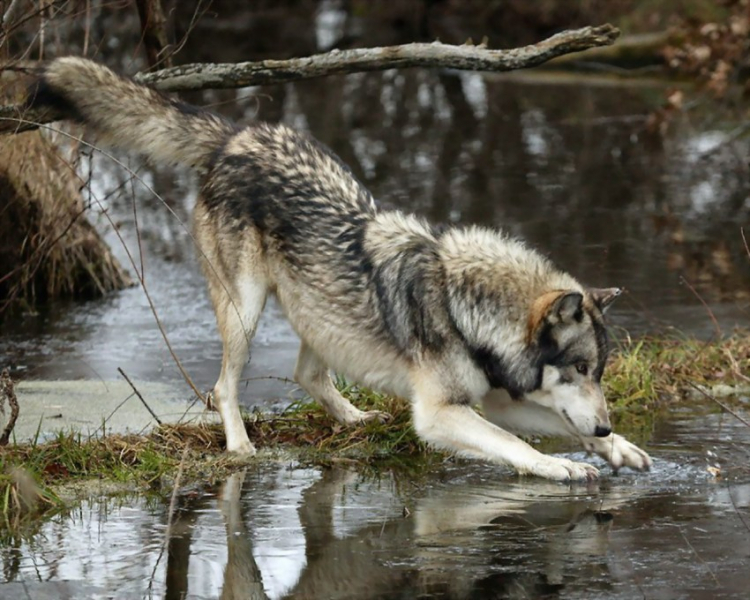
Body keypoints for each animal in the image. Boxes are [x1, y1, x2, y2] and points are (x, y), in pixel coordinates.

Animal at [25, 58, 652, 480]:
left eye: (599, 371)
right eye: (579, 367)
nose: (603, 424)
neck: (466, 308)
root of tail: (236, 134)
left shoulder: (494, 398)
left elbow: (551, 425)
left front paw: (616, 448)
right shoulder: (440, 415)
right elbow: (517, 444)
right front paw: (563, 466)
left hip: (319, 310)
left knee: (307, 375)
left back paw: (353, 418)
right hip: (246, 311)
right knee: (223, 387)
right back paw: (241, 447)